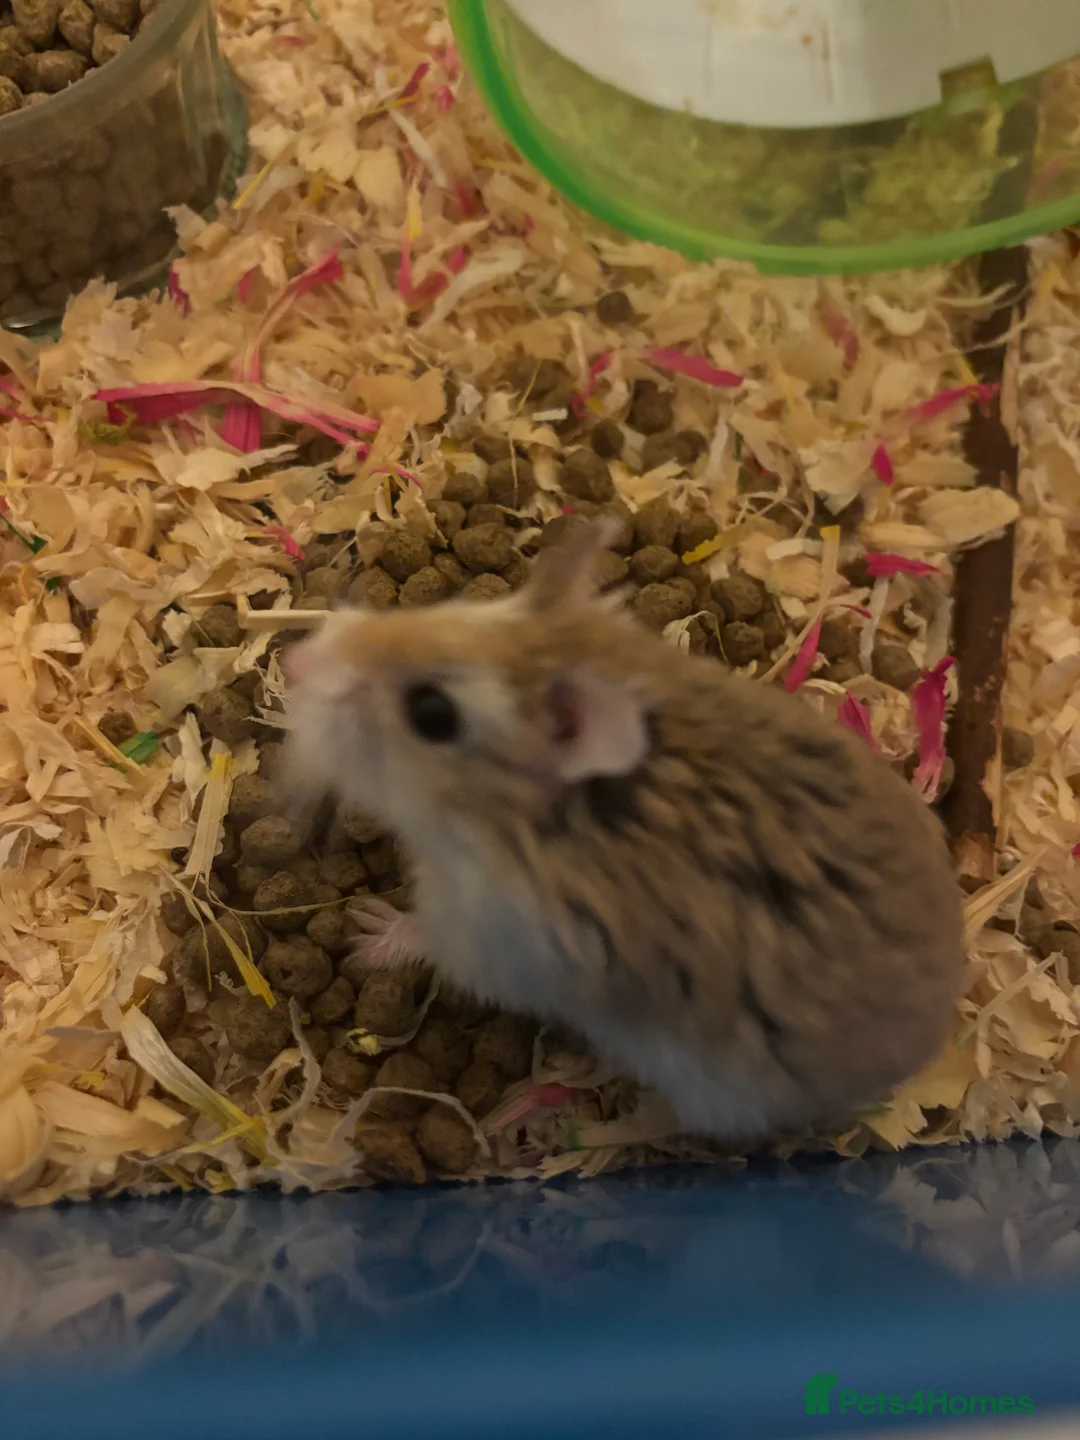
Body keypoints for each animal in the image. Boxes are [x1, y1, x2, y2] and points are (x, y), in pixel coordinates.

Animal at [283, 518, 966, 1142]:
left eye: (432, 714)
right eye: (452, 608)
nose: (297, 662)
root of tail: (936, 1030)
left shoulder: (491, 936)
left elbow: (423, 936)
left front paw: (366, 932)